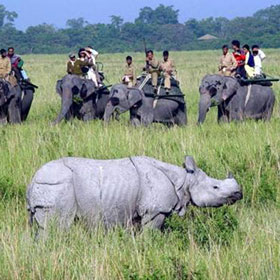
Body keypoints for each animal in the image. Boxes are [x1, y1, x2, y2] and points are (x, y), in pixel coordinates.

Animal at [26, 155, 243, 236]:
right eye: (215, 187)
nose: (239, 193)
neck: (184, 180)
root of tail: (32, 180)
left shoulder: (138, 212)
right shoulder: (156, 211)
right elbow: (151, 234)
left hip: (48, 186)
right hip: (56, 185)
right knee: (57, 228)